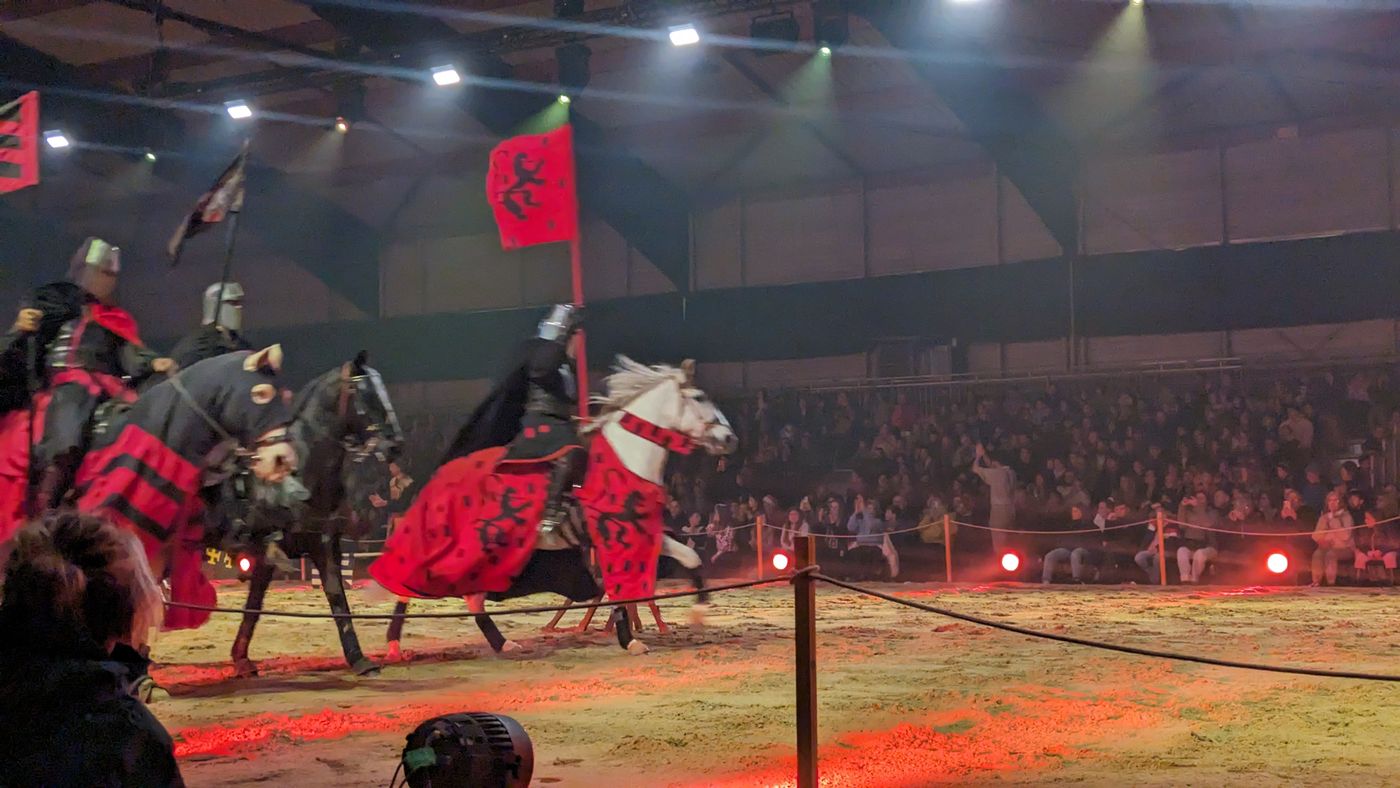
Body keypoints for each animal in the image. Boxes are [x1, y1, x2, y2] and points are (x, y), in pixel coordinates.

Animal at [221, 352, 400, 677]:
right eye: (367, 394)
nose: (396, 444)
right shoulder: (276, 548)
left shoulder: (319, 543)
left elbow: (333, 595)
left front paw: (359, 659)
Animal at [372, 358, 744, 660]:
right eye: (699, 397)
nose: (730, 440)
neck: (628, 459)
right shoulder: (611, 540)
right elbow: (618, 589)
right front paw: (631, 641)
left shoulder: (640, 534)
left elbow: (690, 559)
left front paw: (698, 613)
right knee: (413, 580)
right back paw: (393, 644)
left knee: (469, 595)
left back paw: (501, 644)